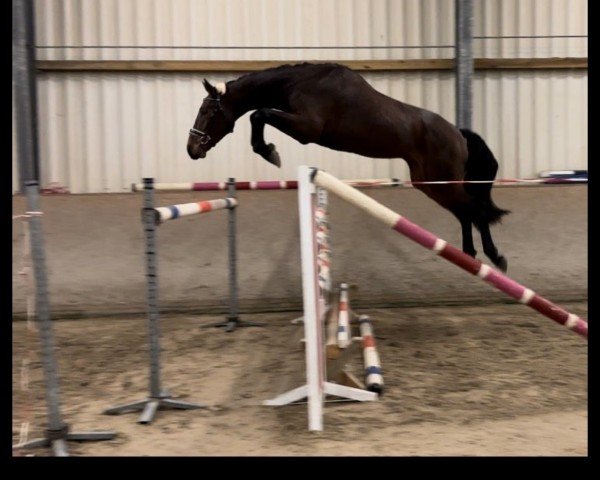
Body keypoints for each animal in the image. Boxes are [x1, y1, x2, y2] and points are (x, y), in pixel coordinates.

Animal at [189, 62, 510, 272]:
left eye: (207, 111)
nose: (191, 149)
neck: (301, 83)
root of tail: (458, 134)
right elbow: (260, 114)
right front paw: (268, 150)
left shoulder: (306, 128)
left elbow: (259, 114)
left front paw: (269, 152)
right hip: (431, 185)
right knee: (466, 212)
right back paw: (470, 255)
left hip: (442, 183)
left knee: (475, 210)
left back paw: (495, 257)